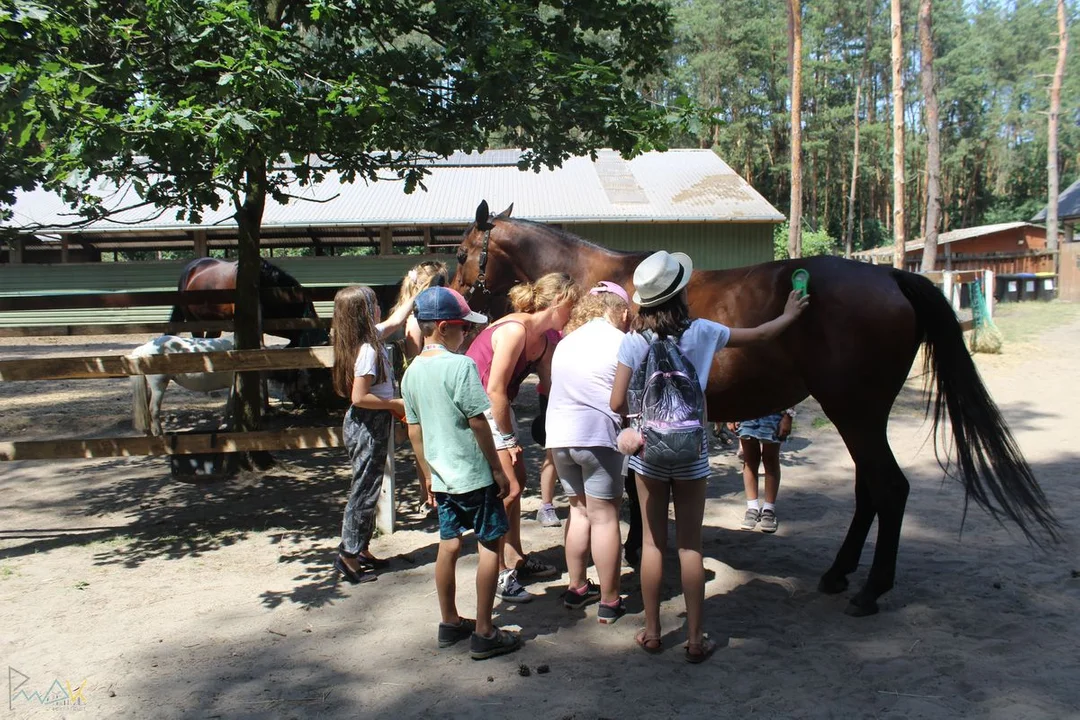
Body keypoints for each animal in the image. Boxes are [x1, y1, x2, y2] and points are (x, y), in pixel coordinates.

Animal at [451, 199, 1058, 617]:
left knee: (888, 489)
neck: (595, 286)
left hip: (855, 412)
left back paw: (868, 589)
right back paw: (841, 574)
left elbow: (627, 486)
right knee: (871, 490)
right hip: (864, 416)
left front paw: (633, 547)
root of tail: (890, 274)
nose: (463, 306)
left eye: (459, 252)